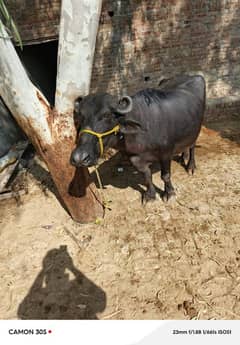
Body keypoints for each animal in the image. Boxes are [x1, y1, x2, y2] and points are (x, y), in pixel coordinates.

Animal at [70, 74, 205, 200]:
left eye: (107, 115)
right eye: (80, 117)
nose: (79, 158)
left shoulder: (166, 153)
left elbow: (165, 175)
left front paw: (169, 193)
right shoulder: (135, 157)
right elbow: (147, 175)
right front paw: (150, 195)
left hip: (196, 128)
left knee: (192, 146)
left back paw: (190, 166)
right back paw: (183, 157)